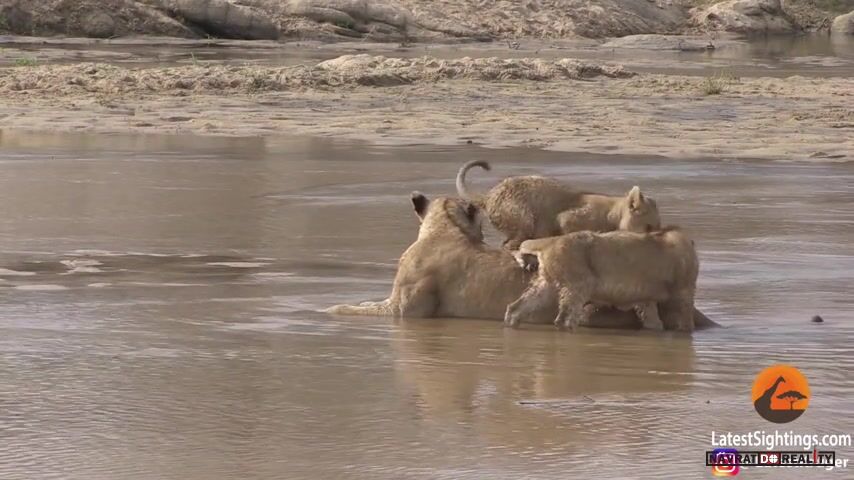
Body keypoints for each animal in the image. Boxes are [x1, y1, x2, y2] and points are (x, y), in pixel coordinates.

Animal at [456, 160, 661, 250]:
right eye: (649, 226)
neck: (615, 211)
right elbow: (566, 223)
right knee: (516, 235)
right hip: (517, 211)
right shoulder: (576, 216)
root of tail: (489, 196)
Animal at [505, 227, 699, 332]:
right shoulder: (683, 290)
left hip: (547, 282)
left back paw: (511, 321)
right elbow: (685, 320)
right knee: (565, 317)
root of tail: (549, 243)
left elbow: (653, 321)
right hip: (579, 282)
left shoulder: (646, 298)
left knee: (518, 305)